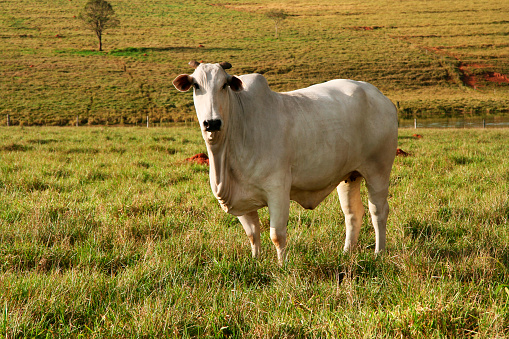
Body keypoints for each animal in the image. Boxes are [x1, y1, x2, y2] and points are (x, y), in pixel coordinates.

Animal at [173, 62, 398, 266]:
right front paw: (256, 261)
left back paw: (379, 253)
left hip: (378, 170)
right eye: (196, 86)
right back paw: (346, 252)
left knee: (378, 212)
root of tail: (381, 97)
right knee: (352, 214)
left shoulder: (278, 191)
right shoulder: (242, 200)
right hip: (349, 177)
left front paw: (282, 266)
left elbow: (277, 235)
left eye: (224, 85)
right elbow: (253, 233)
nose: (212, 123)